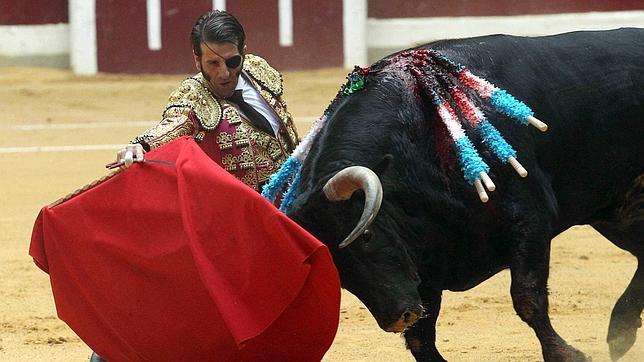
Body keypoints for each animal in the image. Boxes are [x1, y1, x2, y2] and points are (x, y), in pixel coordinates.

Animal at [290, 27, 640, 360]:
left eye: (366, 236)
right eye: (336, 265)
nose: (398, 318)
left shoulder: (529, 220)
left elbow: (527, 298)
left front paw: (566, 355)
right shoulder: (424, 263)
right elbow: (420, 339)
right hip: (617, 212)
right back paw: (620, 332)